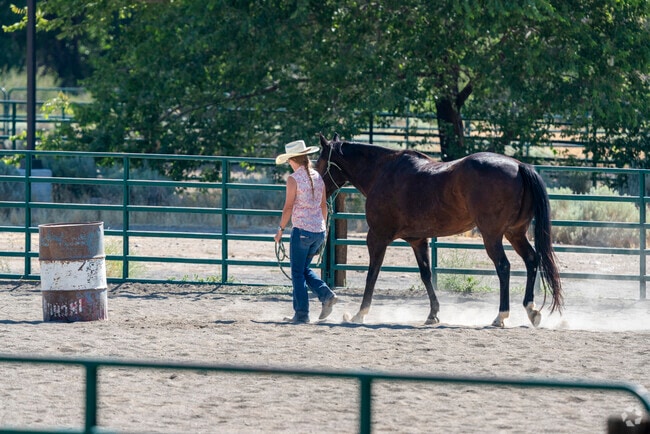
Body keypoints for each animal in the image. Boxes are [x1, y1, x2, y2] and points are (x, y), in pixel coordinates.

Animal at [314, 133, 563, 327]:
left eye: (318, 163)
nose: (317, 189)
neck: (382, 172)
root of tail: (519, 166)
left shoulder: (377, 237)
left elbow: (372, 274)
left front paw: (360, 313)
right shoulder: (418, 240)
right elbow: (426, 274)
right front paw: (433, 314)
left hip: (492, 235)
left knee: (504, 266)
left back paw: (500, 316)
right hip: (515, 233)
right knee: (532, 260)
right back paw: (531, 310)